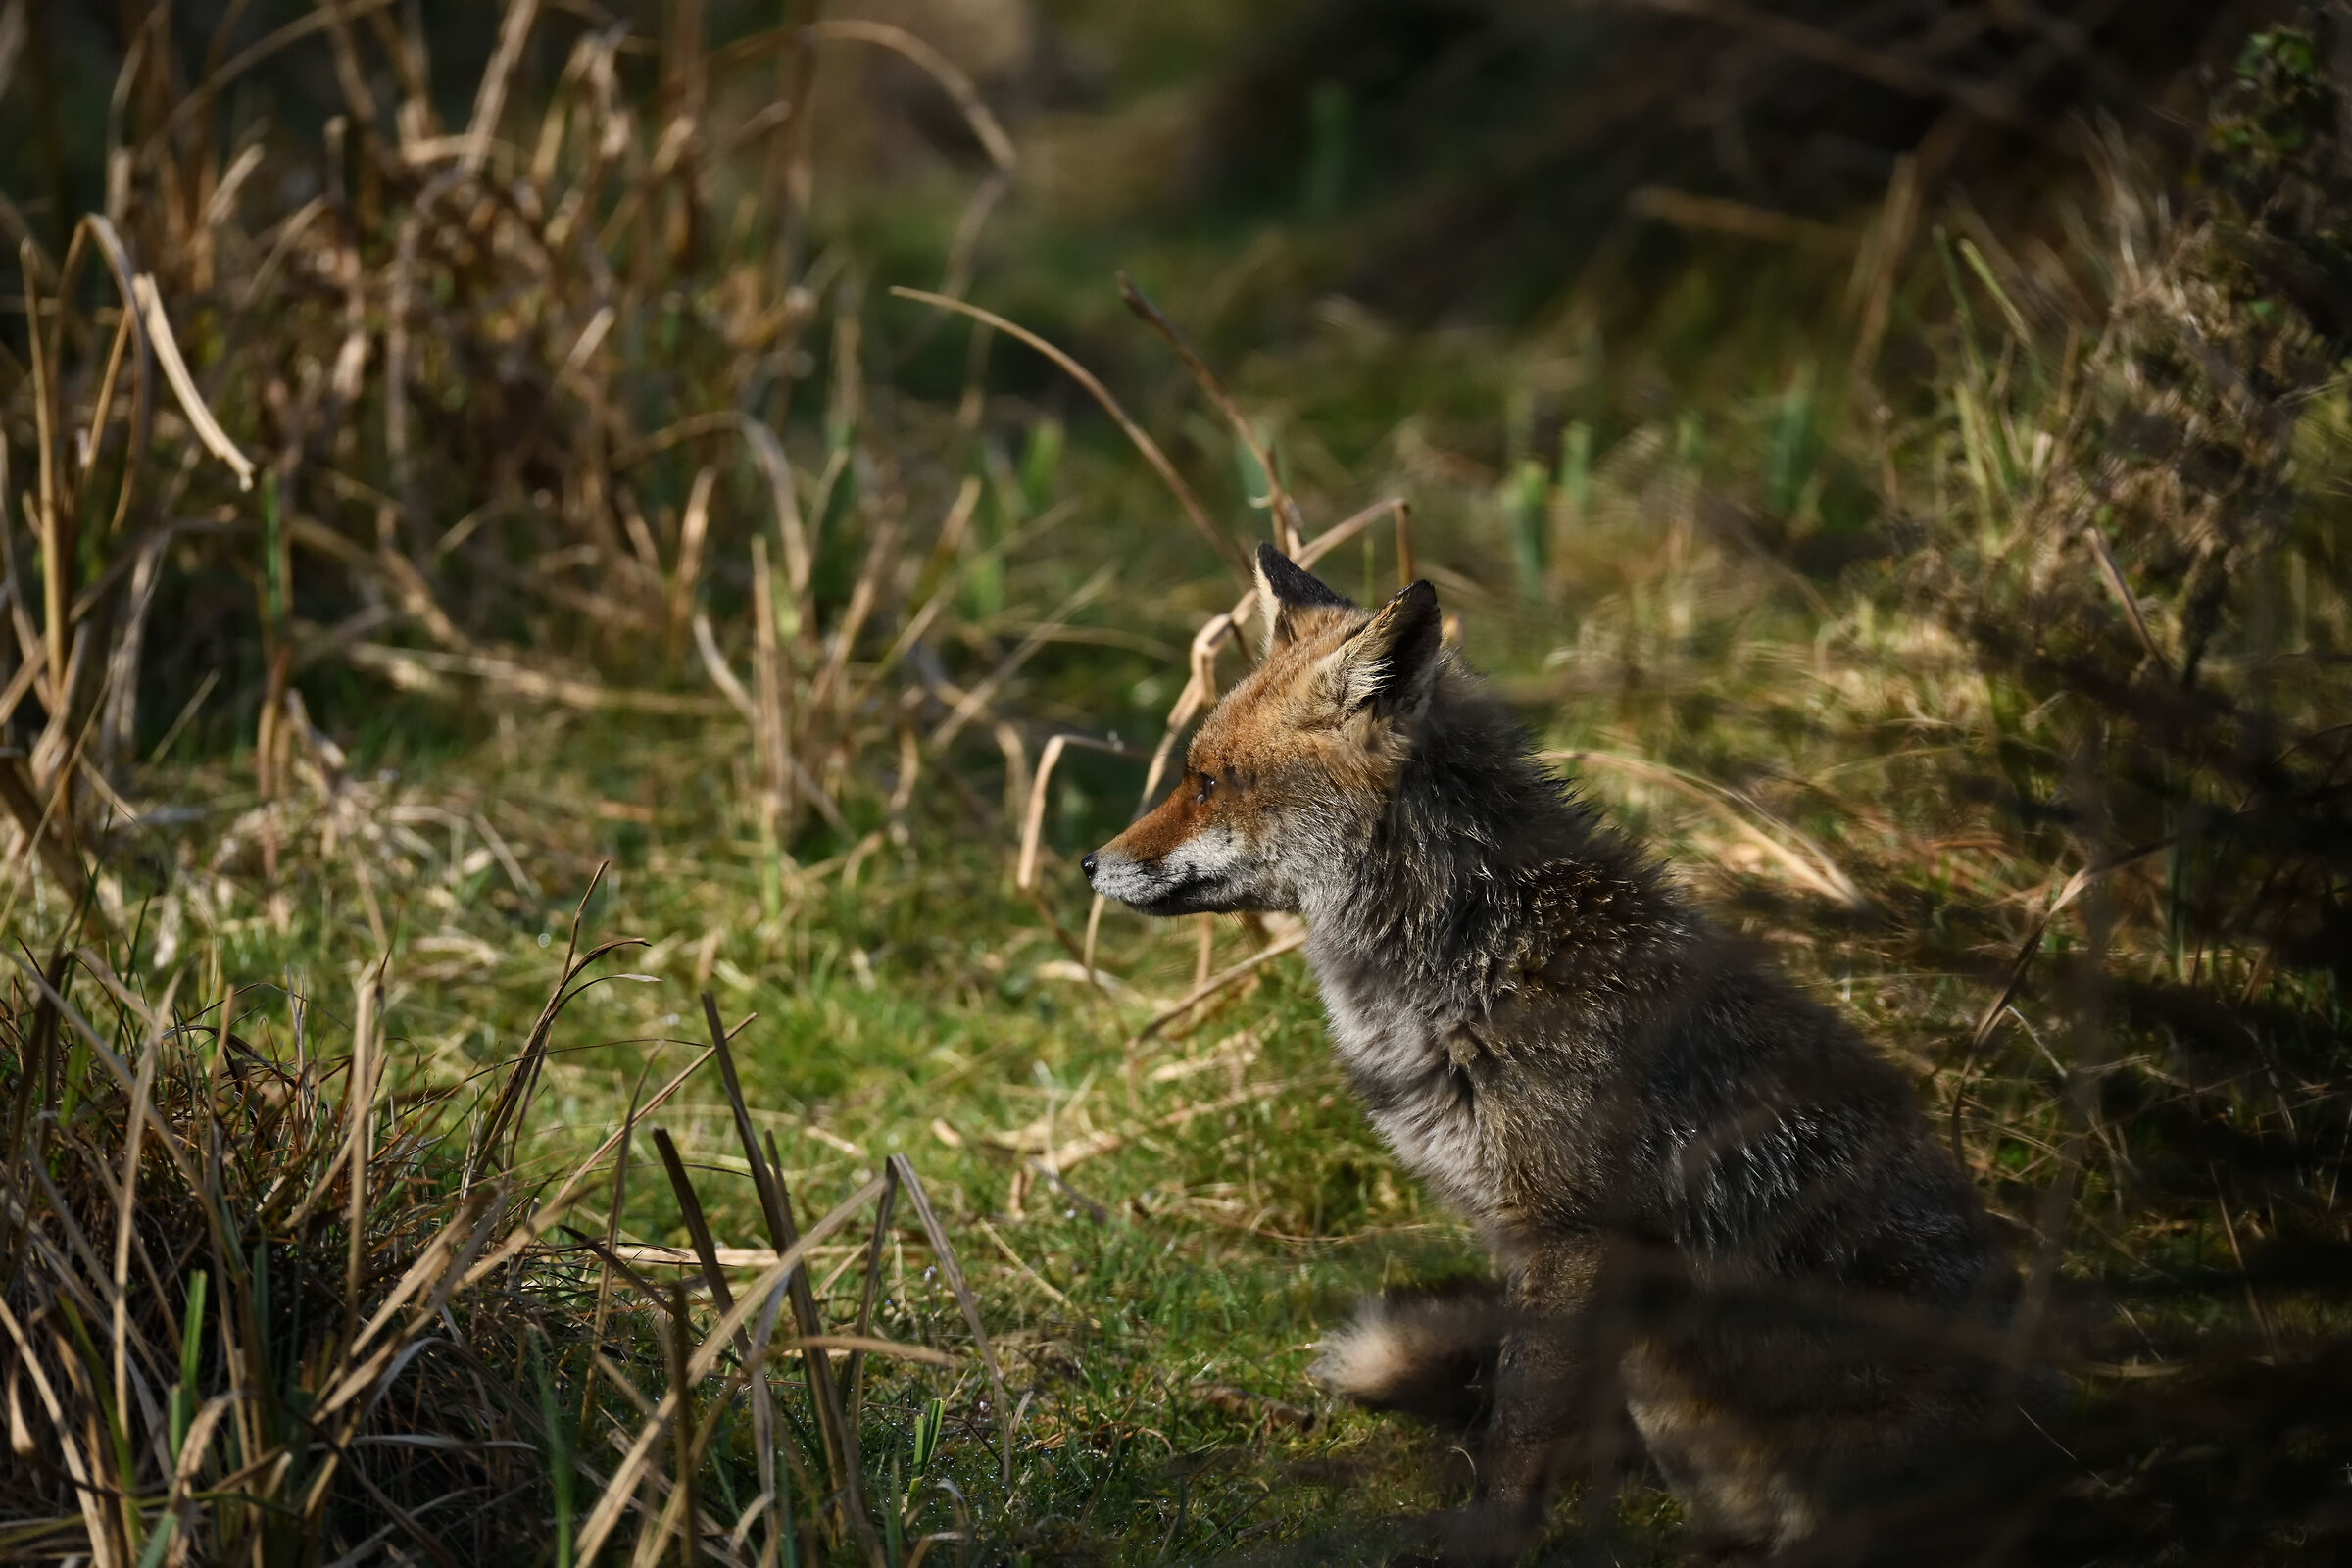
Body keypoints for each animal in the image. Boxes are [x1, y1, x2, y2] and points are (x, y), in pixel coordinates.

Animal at [1083, 545, 2023, 1563]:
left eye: (1208, 782)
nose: (1089, 863)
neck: (1477, 958)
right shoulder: (1524, 1241)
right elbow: (1516, 1405)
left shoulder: (1572, 1233)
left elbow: (1519, 1428)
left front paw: (1486, 1539)